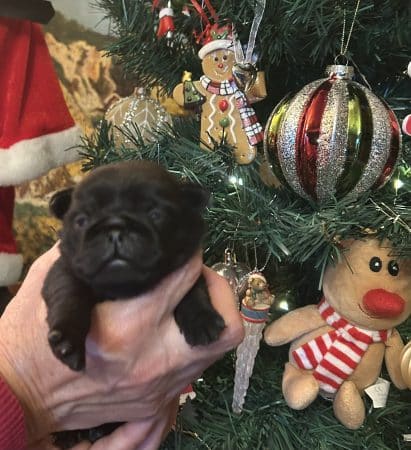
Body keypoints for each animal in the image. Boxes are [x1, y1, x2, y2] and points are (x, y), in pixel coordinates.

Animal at [41, 159, 225, 372]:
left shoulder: (186, 268)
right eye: (82, 221)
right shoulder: (63, 269)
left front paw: (202, 319)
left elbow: (193, 288)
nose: (115, 228)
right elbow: (69, 293)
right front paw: (68, 340)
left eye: (155, 214)